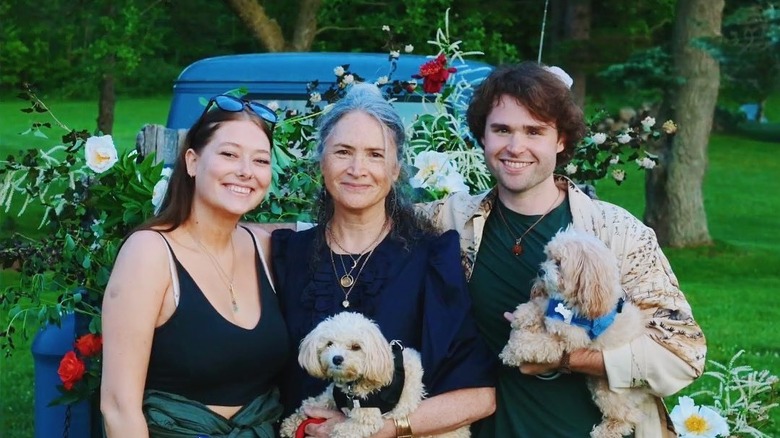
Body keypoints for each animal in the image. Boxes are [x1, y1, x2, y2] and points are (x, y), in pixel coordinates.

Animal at [278, 312, 470, 438]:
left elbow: (342, 431)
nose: (337, 358)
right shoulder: (331, 397)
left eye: (356, 347)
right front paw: (291, 424)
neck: (352, 385)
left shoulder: (366, 419)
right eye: (329, 343)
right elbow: (310, 404)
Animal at [500, 228, 652, 436]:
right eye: (547, 256)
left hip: (609, 392)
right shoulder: (552, 308)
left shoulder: (567, 341)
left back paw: (605, 431)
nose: (540, 271)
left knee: (629, 417)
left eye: (559, 263)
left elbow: (534, 344)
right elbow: (541, 306)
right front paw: (523, 315)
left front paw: (510, 351)